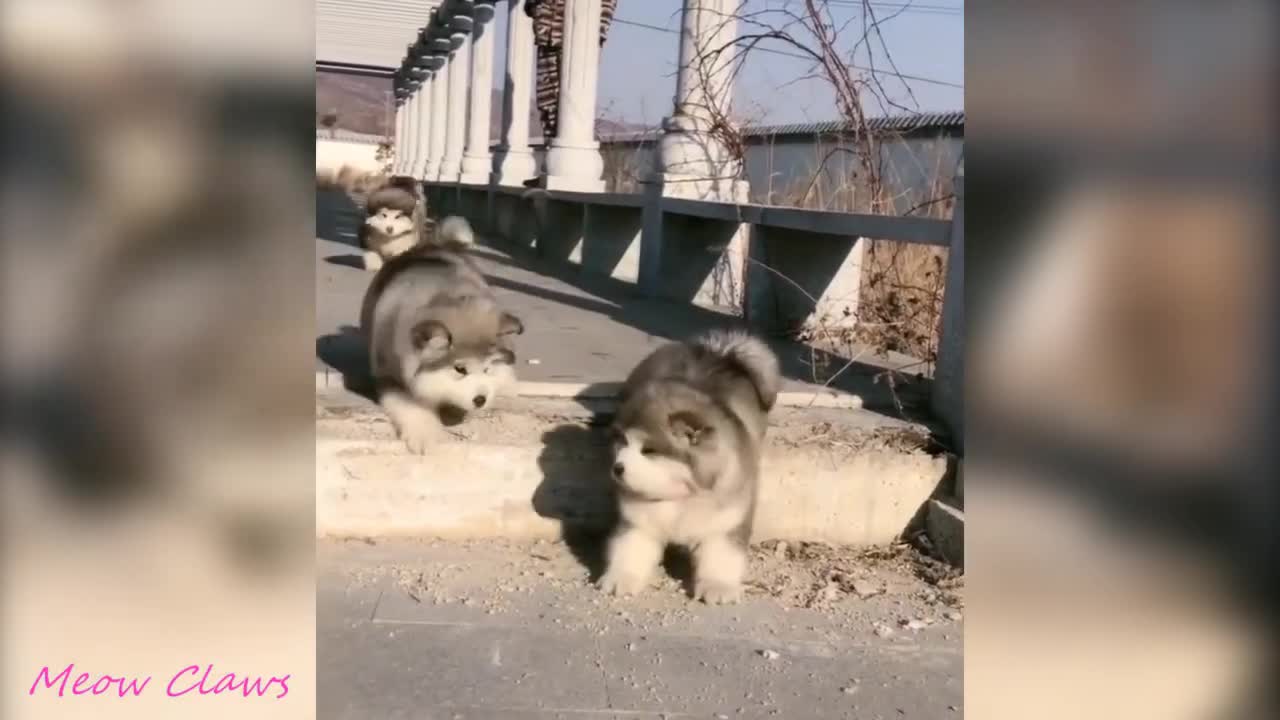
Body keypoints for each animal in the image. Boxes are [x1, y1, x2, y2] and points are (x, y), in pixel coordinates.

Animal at [358, 212, 522, 450]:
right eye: (460, 369)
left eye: (487, 368)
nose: (480, 399)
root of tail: (434, 245)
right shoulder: (389, 376)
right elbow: (411, 406)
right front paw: (424, 435)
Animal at [599, 330, 778, 599]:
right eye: (622, 441)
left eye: (649, 450)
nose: (617, 469)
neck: (680, 496)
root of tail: (719, 352)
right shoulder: (638, 522)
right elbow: (629, 548)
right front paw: (622, 577)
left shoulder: (724, 522)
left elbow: (722, 556)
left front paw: (718, 586)